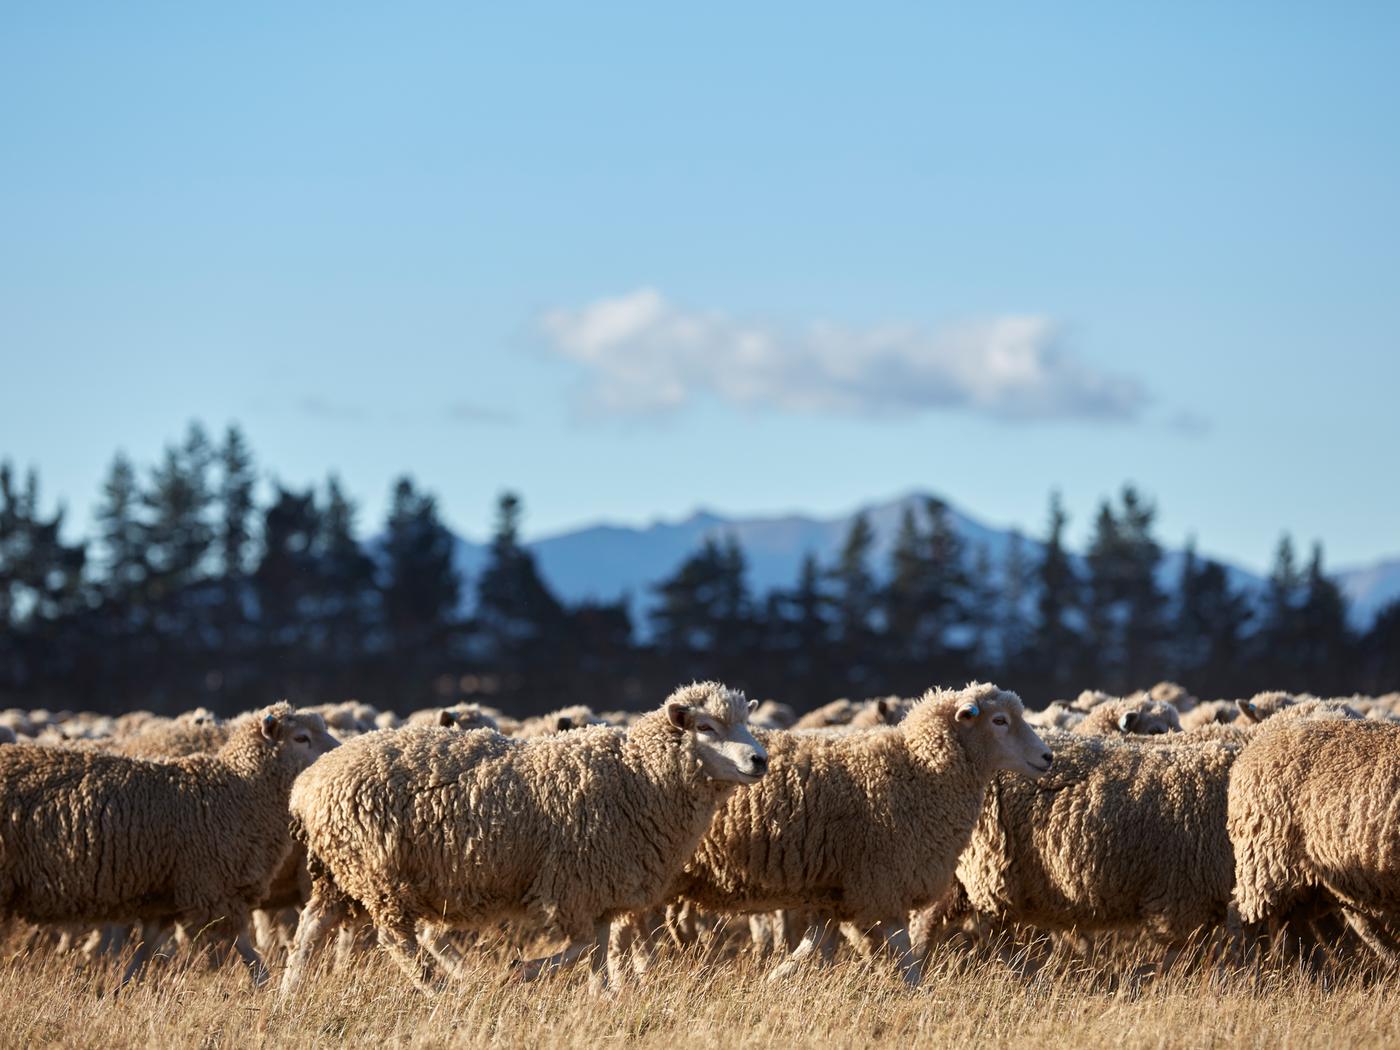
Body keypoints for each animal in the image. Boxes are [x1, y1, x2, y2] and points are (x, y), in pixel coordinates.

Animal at [0, 702, 337, 986]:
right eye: (301, 738)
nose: (340, 752)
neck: (237, 791)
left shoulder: (167, 893)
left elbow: (145, 948)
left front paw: (120, 990)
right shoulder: (212, 888)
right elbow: (244, 947)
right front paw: (265, 985)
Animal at [281, 681, 768, 996]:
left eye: (745, 722)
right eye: (705, 727)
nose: (759, 760)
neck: (639, 777)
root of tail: (306, 784)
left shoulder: (601, 889)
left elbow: (598, 950)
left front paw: (602, 996)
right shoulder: (573, 883)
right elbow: (581, 946)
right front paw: (522, 970)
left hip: (340, 872)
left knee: (311, 927)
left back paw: (290, 994)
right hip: (378, 872)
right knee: (395, 939)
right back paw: (444, 991)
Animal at [676, 683, 1051, 985]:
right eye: (999, 720)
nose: (1047, 756)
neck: (919, 770)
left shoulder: (834, 893)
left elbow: (808, 951)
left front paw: (769, 984)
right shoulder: (883, 884)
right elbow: (906, 959)